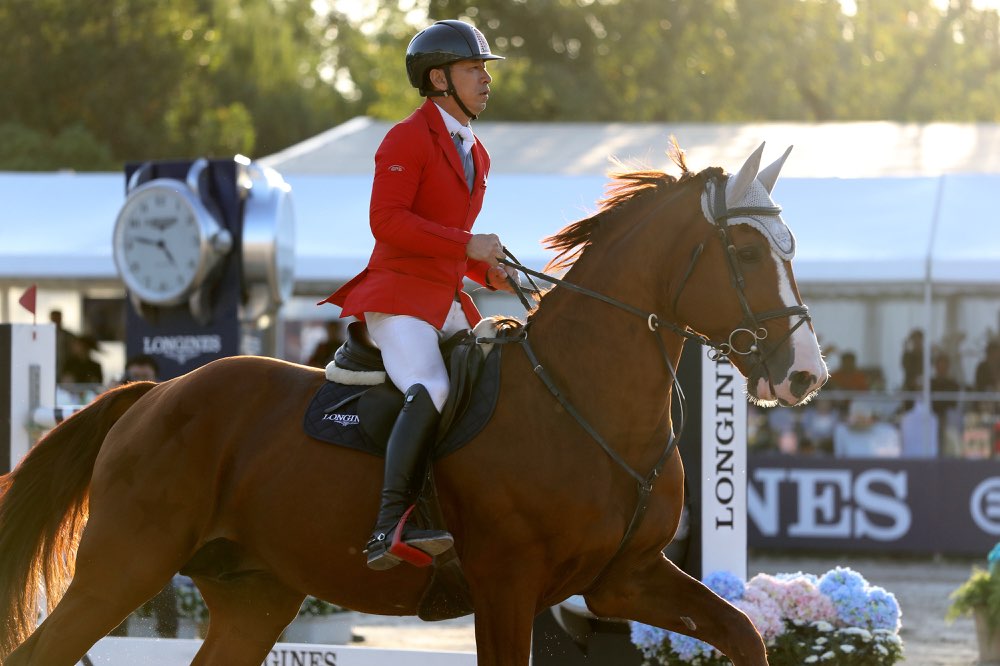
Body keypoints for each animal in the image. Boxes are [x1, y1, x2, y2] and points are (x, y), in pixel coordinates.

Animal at [1, 143, 828, 664]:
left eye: (792, 251)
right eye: (746, 253)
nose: (805, 376)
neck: (583, 401)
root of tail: (153, 394)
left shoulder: (625, 578)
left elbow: (743, 634)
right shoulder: (506, 584)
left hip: (252, 593)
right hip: (124, 565)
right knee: (42, 650)